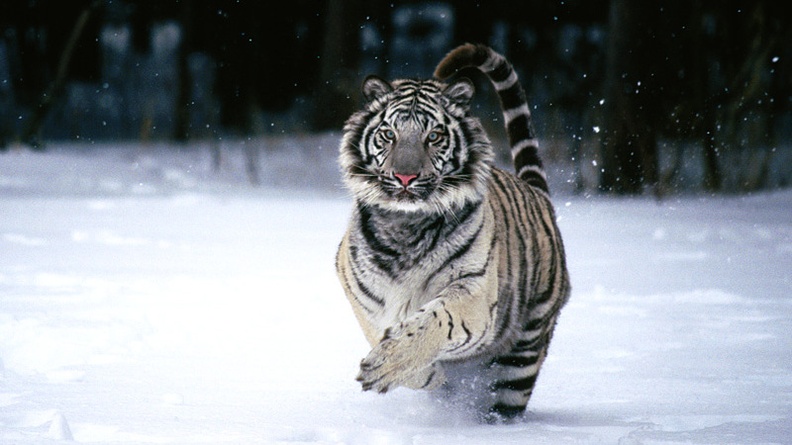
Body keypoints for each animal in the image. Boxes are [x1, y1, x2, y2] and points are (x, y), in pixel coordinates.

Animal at [335, 43, 570, 422]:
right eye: (389, 134)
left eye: (433, 136)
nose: (405, 177)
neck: (405, 226)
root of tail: (539, 195)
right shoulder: (363, 295)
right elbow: (384, 333)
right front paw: (427, 376)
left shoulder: (475, 290)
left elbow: (434, 322)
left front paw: (388, 364)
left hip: (522, 355)